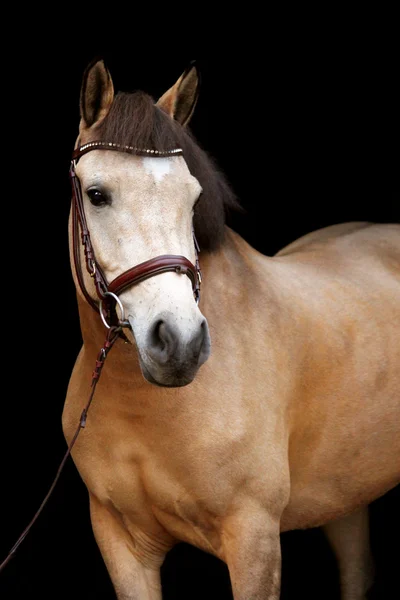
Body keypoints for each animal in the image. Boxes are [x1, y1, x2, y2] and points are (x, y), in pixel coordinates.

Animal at [61, 57, 398, 600]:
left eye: (193, 195)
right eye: (97, 195)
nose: (180, 342)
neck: (148, 407)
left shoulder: (254, 541)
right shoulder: (121, 544)